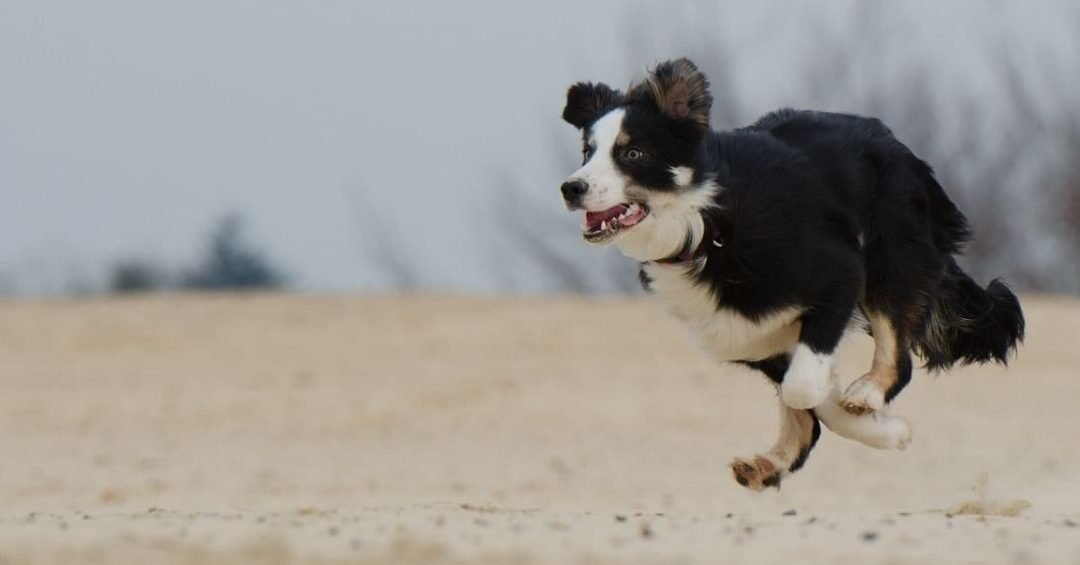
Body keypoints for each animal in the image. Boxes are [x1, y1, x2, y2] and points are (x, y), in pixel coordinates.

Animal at [561, 58, 1023, 490]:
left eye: (632, 154)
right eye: (586, 152)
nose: (571, 188)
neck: (708, 227)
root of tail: (894, 141)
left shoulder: (839, 273)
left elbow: (802, 387)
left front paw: (887, 427)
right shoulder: (742, 334)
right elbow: (806, 396)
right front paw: (887, 431)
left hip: (889, 254)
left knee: (897, 353)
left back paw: (866, 393)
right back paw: (767, 464)